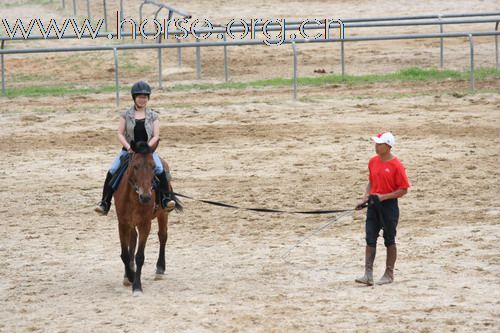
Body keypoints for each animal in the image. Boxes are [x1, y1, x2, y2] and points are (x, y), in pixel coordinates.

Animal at [113, 140, 182, 296]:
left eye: (153, 167)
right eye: (135, 166)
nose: (145, 197)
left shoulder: (145, 224)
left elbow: (140, 256)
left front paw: (137, 285)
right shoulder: (123, 223)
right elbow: (125, 254)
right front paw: (129, 276)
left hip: (163, 214)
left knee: (162, 236)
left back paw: (160, 268)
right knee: (133, 240)